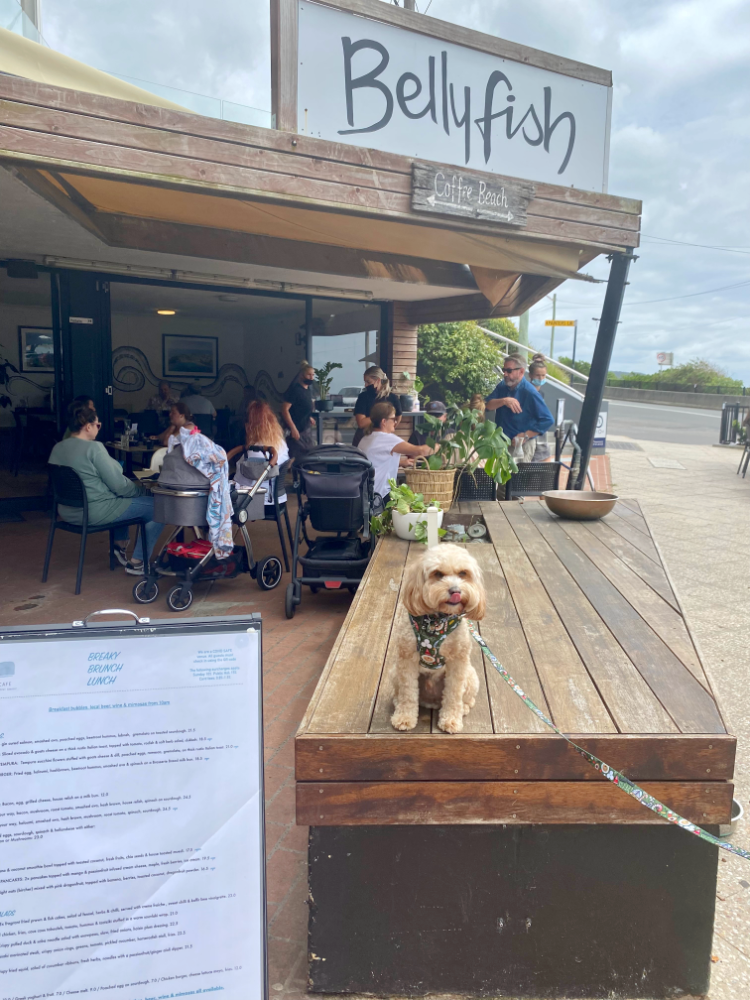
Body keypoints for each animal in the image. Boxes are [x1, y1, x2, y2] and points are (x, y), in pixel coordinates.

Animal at [390, 548, 490, 736]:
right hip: (394, 672)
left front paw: (451, 720)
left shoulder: (458, 661)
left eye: (463, 573)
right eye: (438, 574)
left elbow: (453, 693)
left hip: (471, 676)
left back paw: (463, 708)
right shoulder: (406, 659)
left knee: (466, 699)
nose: (455, 591)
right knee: (402, 693)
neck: (437, 620)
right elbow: (408, 693)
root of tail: (432, 700)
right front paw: (404, 718)